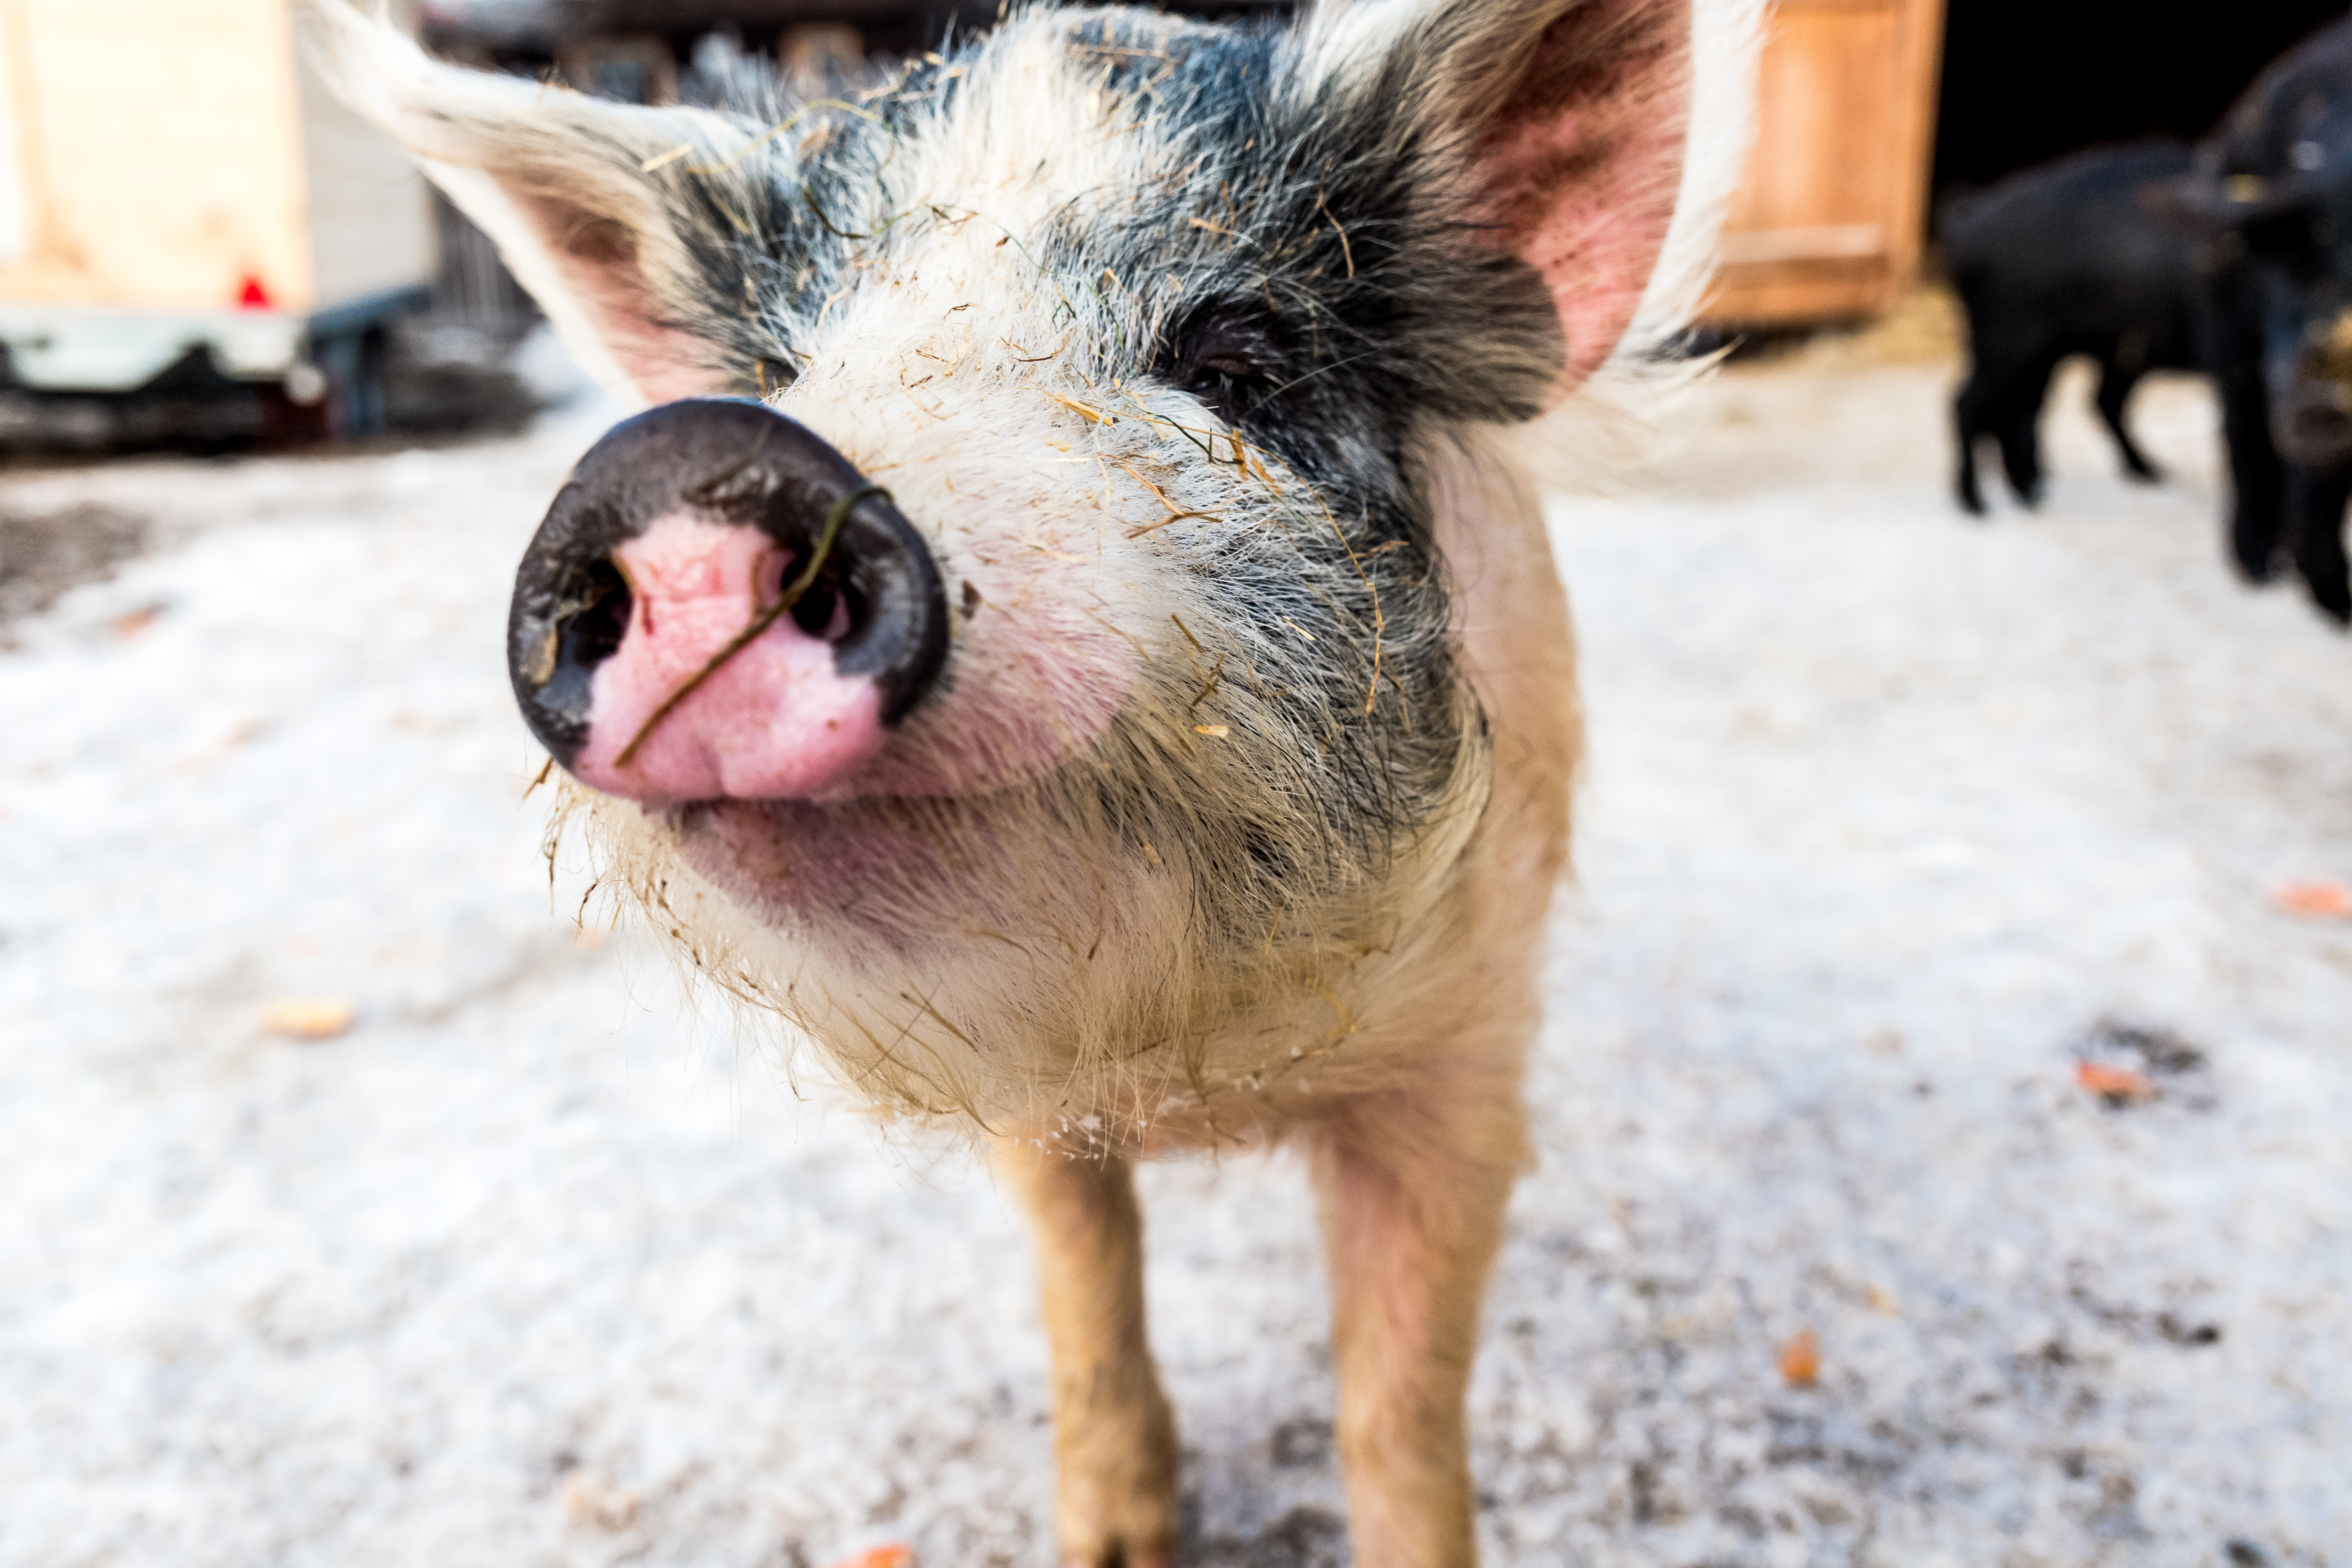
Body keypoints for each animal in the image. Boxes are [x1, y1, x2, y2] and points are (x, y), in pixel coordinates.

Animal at [322, 0, 1742, 1560]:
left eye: (1236, 358)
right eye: (779, 377)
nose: (696, 457)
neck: (1197, 1064)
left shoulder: (1466, 1054)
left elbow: (1397, 1399)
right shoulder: (1030, 1112)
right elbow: (1085, 1295)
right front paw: (1113, 1538)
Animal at [1943, 140, 2201, 515]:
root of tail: (1969, 218)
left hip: (2047, 354)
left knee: (2054, 406)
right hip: (2010, 346)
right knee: (1971, 405)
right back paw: (1978, 504)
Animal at [2156, 17, 2352, 622]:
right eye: (2302, 260)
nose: (2327, 396)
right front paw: (2335, 610)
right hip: (2226, 325)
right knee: (2244, 432)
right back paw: (2258, 569)